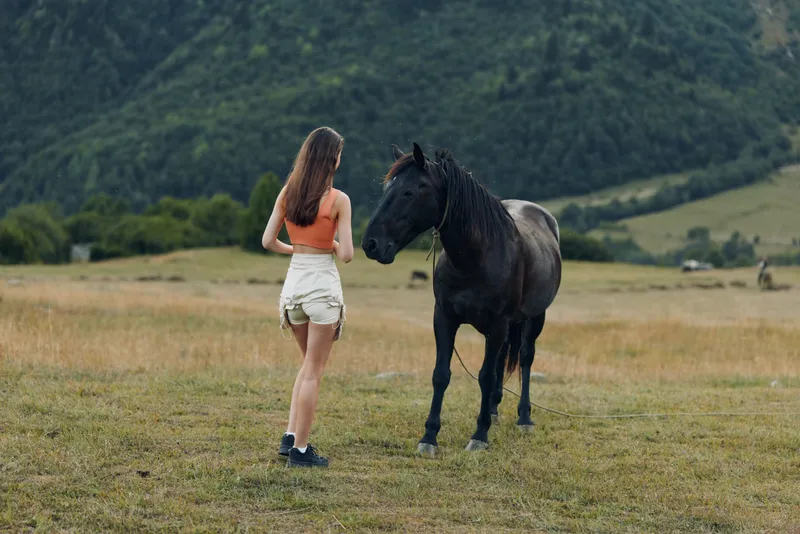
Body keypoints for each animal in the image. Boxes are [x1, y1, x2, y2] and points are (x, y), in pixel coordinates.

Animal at [362, 142, 562, 455]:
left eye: (409, 192)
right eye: (387, 189)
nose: (370, 244)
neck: (476, 257)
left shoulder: (497, 324)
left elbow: (485, 375)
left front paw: (479, 436)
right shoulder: (444, 318)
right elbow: (441, 374)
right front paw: (429, 437)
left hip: (534, 318)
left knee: (526, 359)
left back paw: (524, 418)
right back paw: (493, 409)